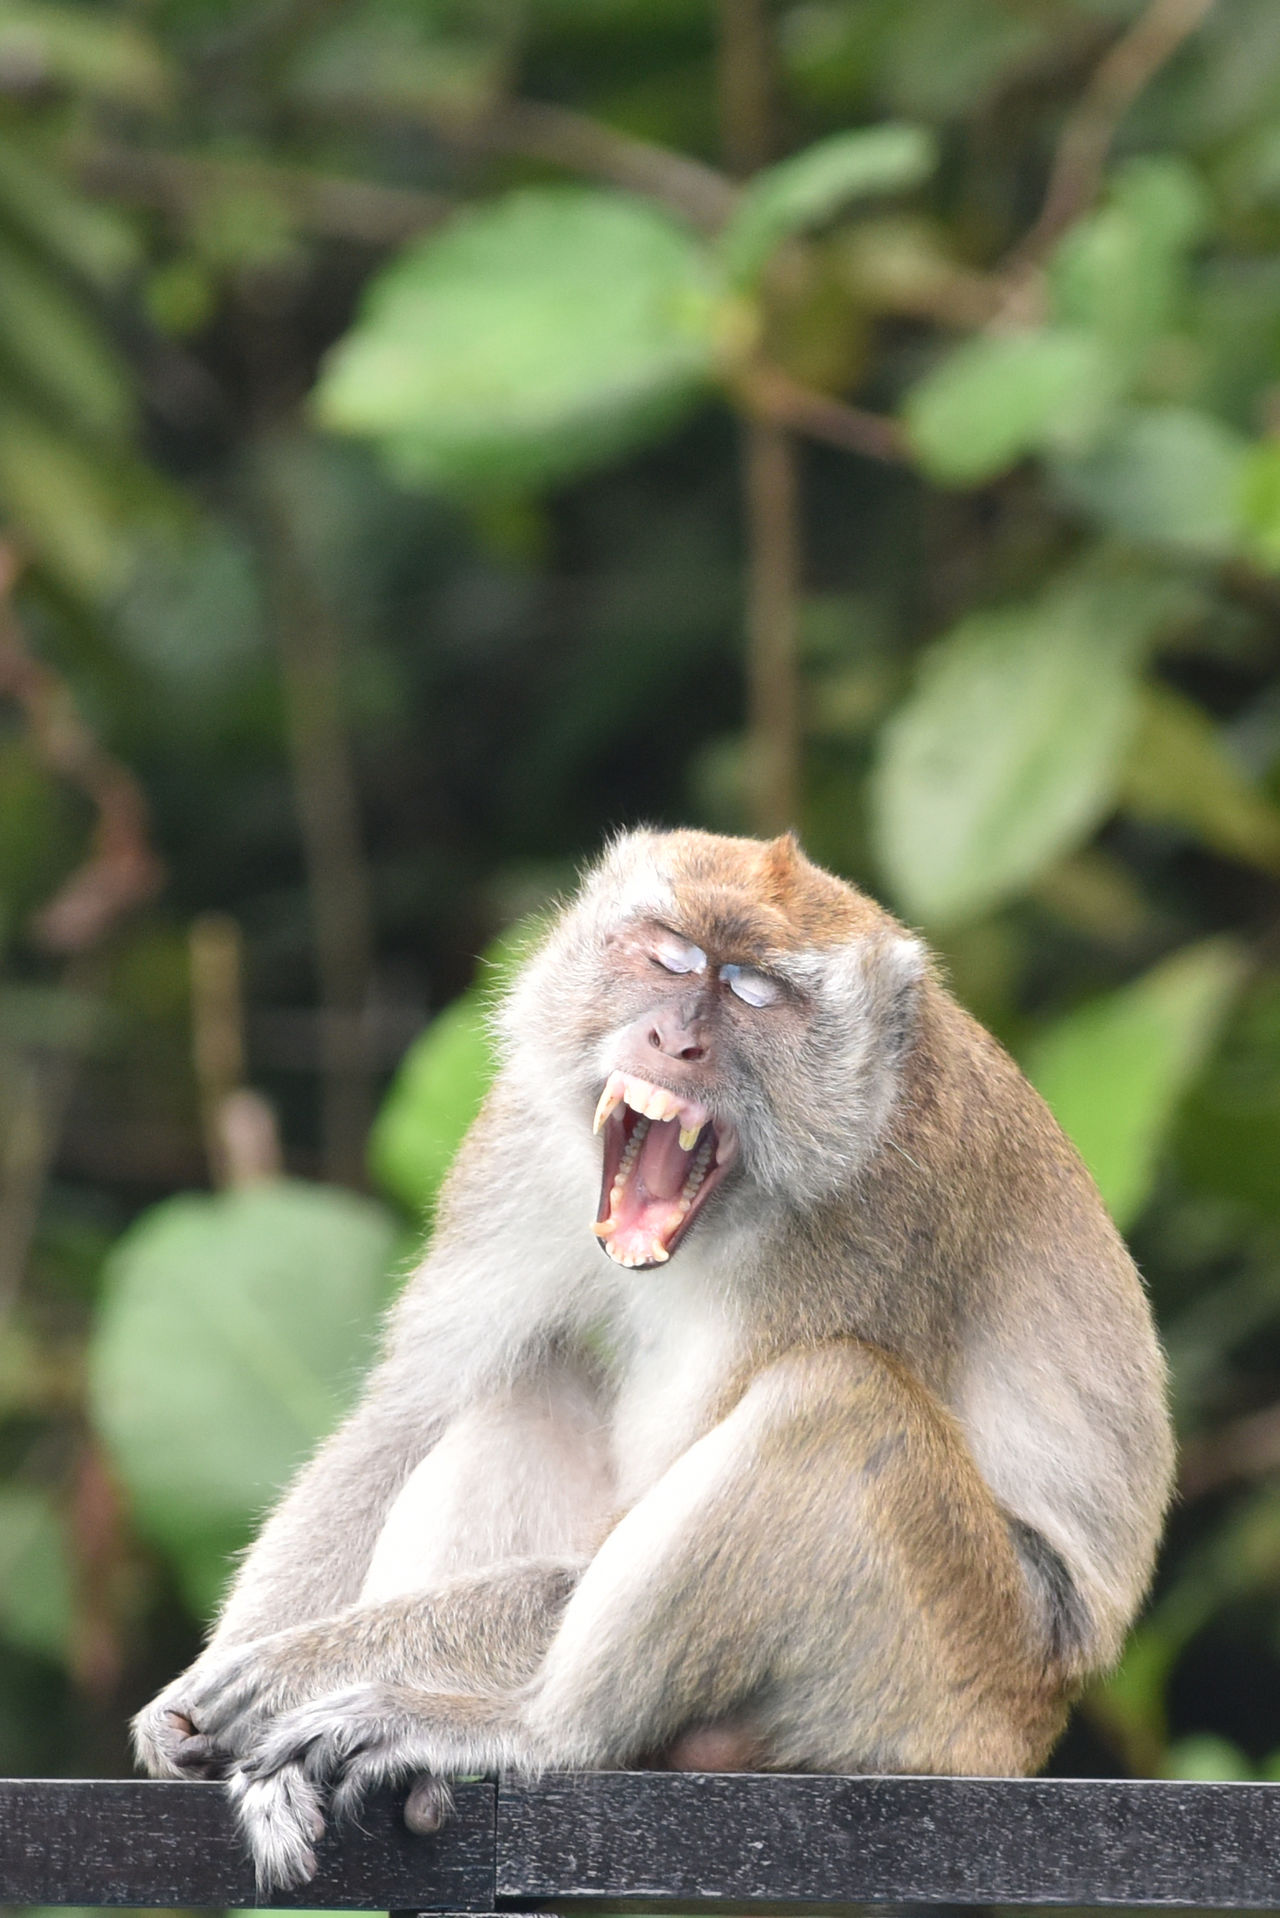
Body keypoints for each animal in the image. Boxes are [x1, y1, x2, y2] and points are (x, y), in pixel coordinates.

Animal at [130, 824, 1174, 1887]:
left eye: (755, 991)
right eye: (670, 958)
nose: (677, 1041)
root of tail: (1039, 1721)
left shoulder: (886, 1220)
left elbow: (633, 1518)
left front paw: (292, 1667)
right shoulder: (519, 1132)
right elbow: (410, 1413)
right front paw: (201, 1698)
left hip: (952, 1677)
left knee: (837, 1402)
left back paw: (530, 1731)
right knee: (526, 1382)